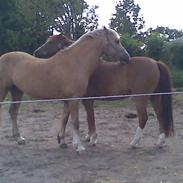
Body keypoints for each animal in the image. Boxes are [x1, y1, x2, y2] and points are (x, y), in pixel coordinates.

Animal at [0, 26, 130, 152]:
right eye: (117, 41)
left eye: (51, 42)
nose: (127, 57)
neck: (75, 62)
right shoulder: (74, 99)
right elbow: (75, 122)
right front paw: (79, 146)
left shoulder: (68, 100)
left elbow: (65, 120)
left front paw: (62, 142)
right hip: (4, 91)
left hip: (17, 91)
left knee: (13, 112)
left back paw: (19, 138)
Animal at [33, 34, 174, 149]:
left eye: (51, 42)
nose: (36, 52)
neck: (84, 65)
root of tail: (155, 62)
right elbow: (88, 119)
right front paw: (88, 137)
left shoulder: (87, 101)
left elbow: (90, 118)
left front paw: (92, 140)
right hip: (154, 97)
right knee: (160, 115)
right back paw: (160, 142)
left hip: (140, 98)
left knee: (143, 118)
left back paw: (134, 143)